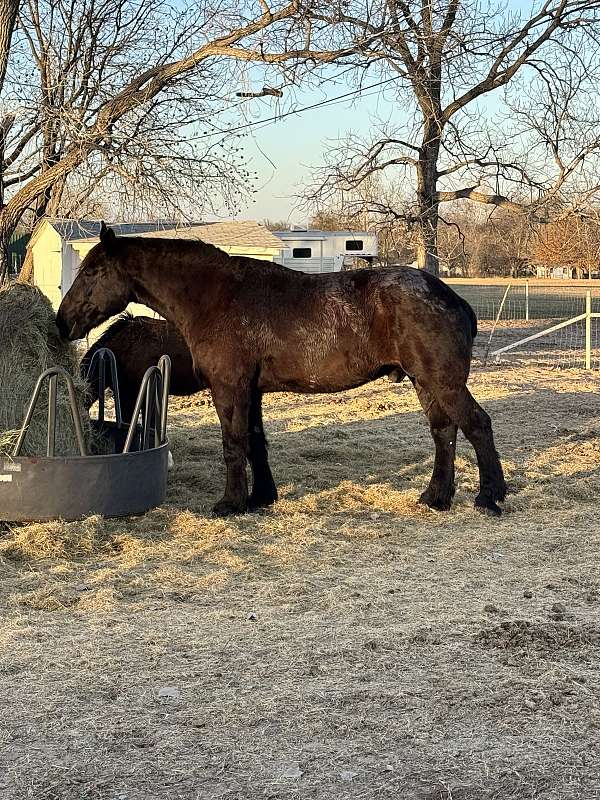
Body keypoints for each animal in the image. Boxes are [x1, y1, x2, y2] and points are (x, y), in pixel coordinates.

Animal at [57, 223, 506, 520]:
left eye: (93, 272)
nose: (63, 322)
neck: (215, 297)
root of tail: (451, 297)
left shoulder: (230, 389)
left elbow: (234, 444)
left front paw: (231, 503)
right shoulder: (250, 391)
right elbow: (256, 442)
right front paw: (260, 498)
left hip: (442, 382)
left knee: (477, 425)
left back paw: (490, 497)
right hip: (425, 382)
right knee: (444, 433)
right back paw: (436, 496)